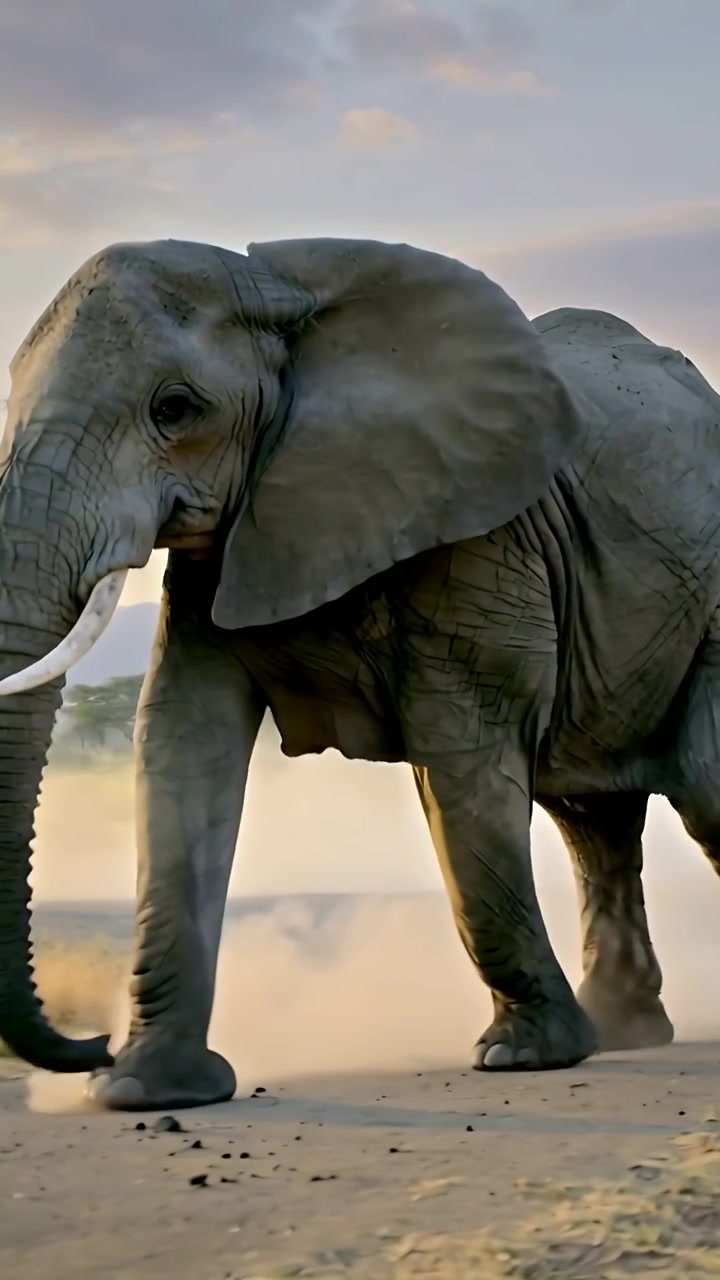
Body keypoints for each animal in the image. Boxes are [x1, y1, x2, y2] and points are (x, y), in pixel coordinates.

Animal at [0, 234, 717, 1112]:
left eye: (175, 409)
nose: (88, 1044)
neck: (281, 291)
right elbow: (182, 741)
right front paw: (150, 1089)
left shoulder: (482, 531)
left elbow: (459, 756)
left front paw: (525, 1056)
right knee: (590, 818)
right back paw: (624, 1034)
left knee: (703, 790)